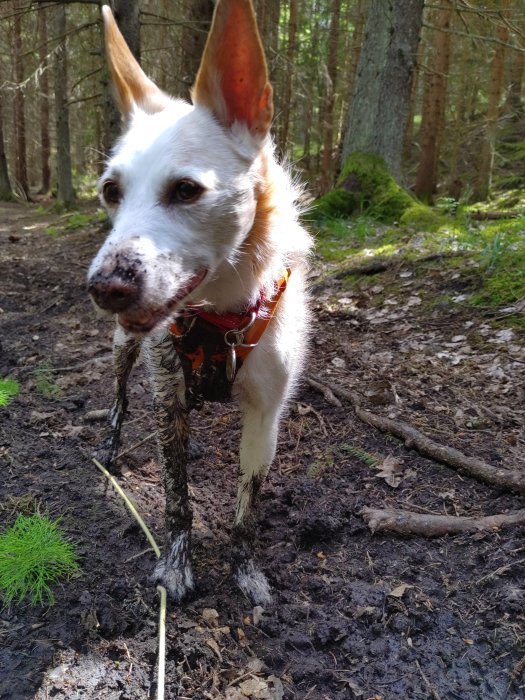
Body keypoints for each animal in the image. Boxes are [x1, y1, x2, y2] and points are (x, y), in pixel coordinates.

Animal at [88, 0, 312, 604]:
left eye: (186, 190)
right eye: (111, 191)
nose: (105, 286)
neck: (223, 316)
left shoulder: (265, 419)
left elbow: (247, 511)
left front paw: (246, 570)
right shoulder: (171, 402)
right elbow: (176, 498)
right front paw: (177, 563)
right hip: (123, 350)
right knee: (118, 398)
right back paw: (110, 446)